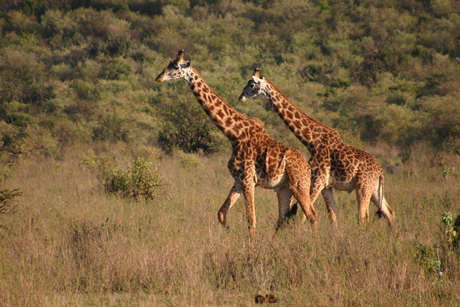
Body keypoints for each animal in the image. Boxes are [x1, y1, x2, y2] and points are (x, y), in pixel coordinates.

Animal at [155, 50, 316, 238]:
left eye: (175, 67)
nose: (158, 77)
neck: (233, 133)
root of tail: (307, 167)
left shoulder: (247, 179)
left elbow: (251, 220)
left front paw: (249, 244)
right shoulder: (238, 180)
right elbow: (221, 213)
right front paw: (228, 232)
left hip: (299, 184)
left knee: (311, 214)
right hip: (284, 188)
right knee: (282, 218)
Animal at [239, 70, 394, 229]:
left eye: (251, 85)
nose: (241, 98)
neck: (312, 141)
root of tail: (380, 171)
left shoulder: (317, 179)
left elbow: (304, 214)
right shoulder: (326, 185)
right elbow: (333, 216)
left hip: (363, 186)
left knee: (363, 216)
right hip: (374, 189)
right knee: (389, 212)